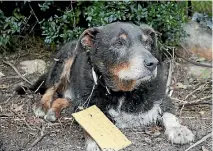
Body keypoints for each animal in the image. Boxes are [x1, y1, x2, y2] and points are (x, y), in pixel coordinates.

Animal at [15, 22, 194, 150]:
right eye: (119, 43)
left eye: (147, 43)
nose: (153, 63)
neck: (124, 92)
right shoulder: (86, 105)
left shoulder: (163, 98)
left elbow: (169, 115)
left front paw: (179, 130)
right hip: (64, 62)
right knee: (50, 89)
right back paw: (43, 106)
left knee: (63, 99)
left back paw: (53, 111)